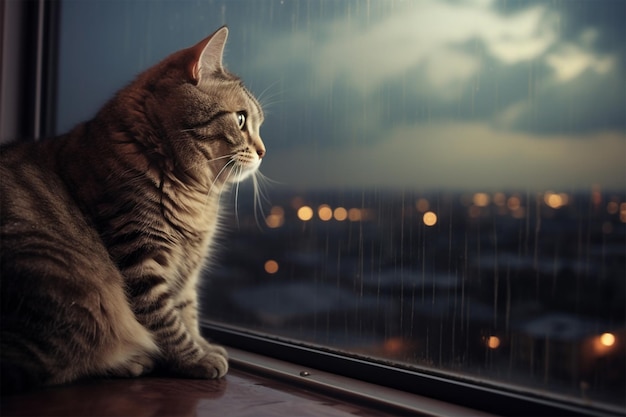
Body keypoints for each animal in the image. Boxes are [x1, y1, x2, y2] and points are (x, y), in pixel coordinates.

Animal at [0, 26, 264, 394]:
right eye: (241, 120)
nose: (263, 151)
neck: (196, 196)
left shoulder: (186, 271)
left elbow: (187, 309)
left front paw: (202, 345)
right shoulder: (139, 254)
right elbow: (166, 319)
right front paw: (194, 358)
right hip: (73, 292)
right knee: (48, 364)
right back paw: (130, 361)